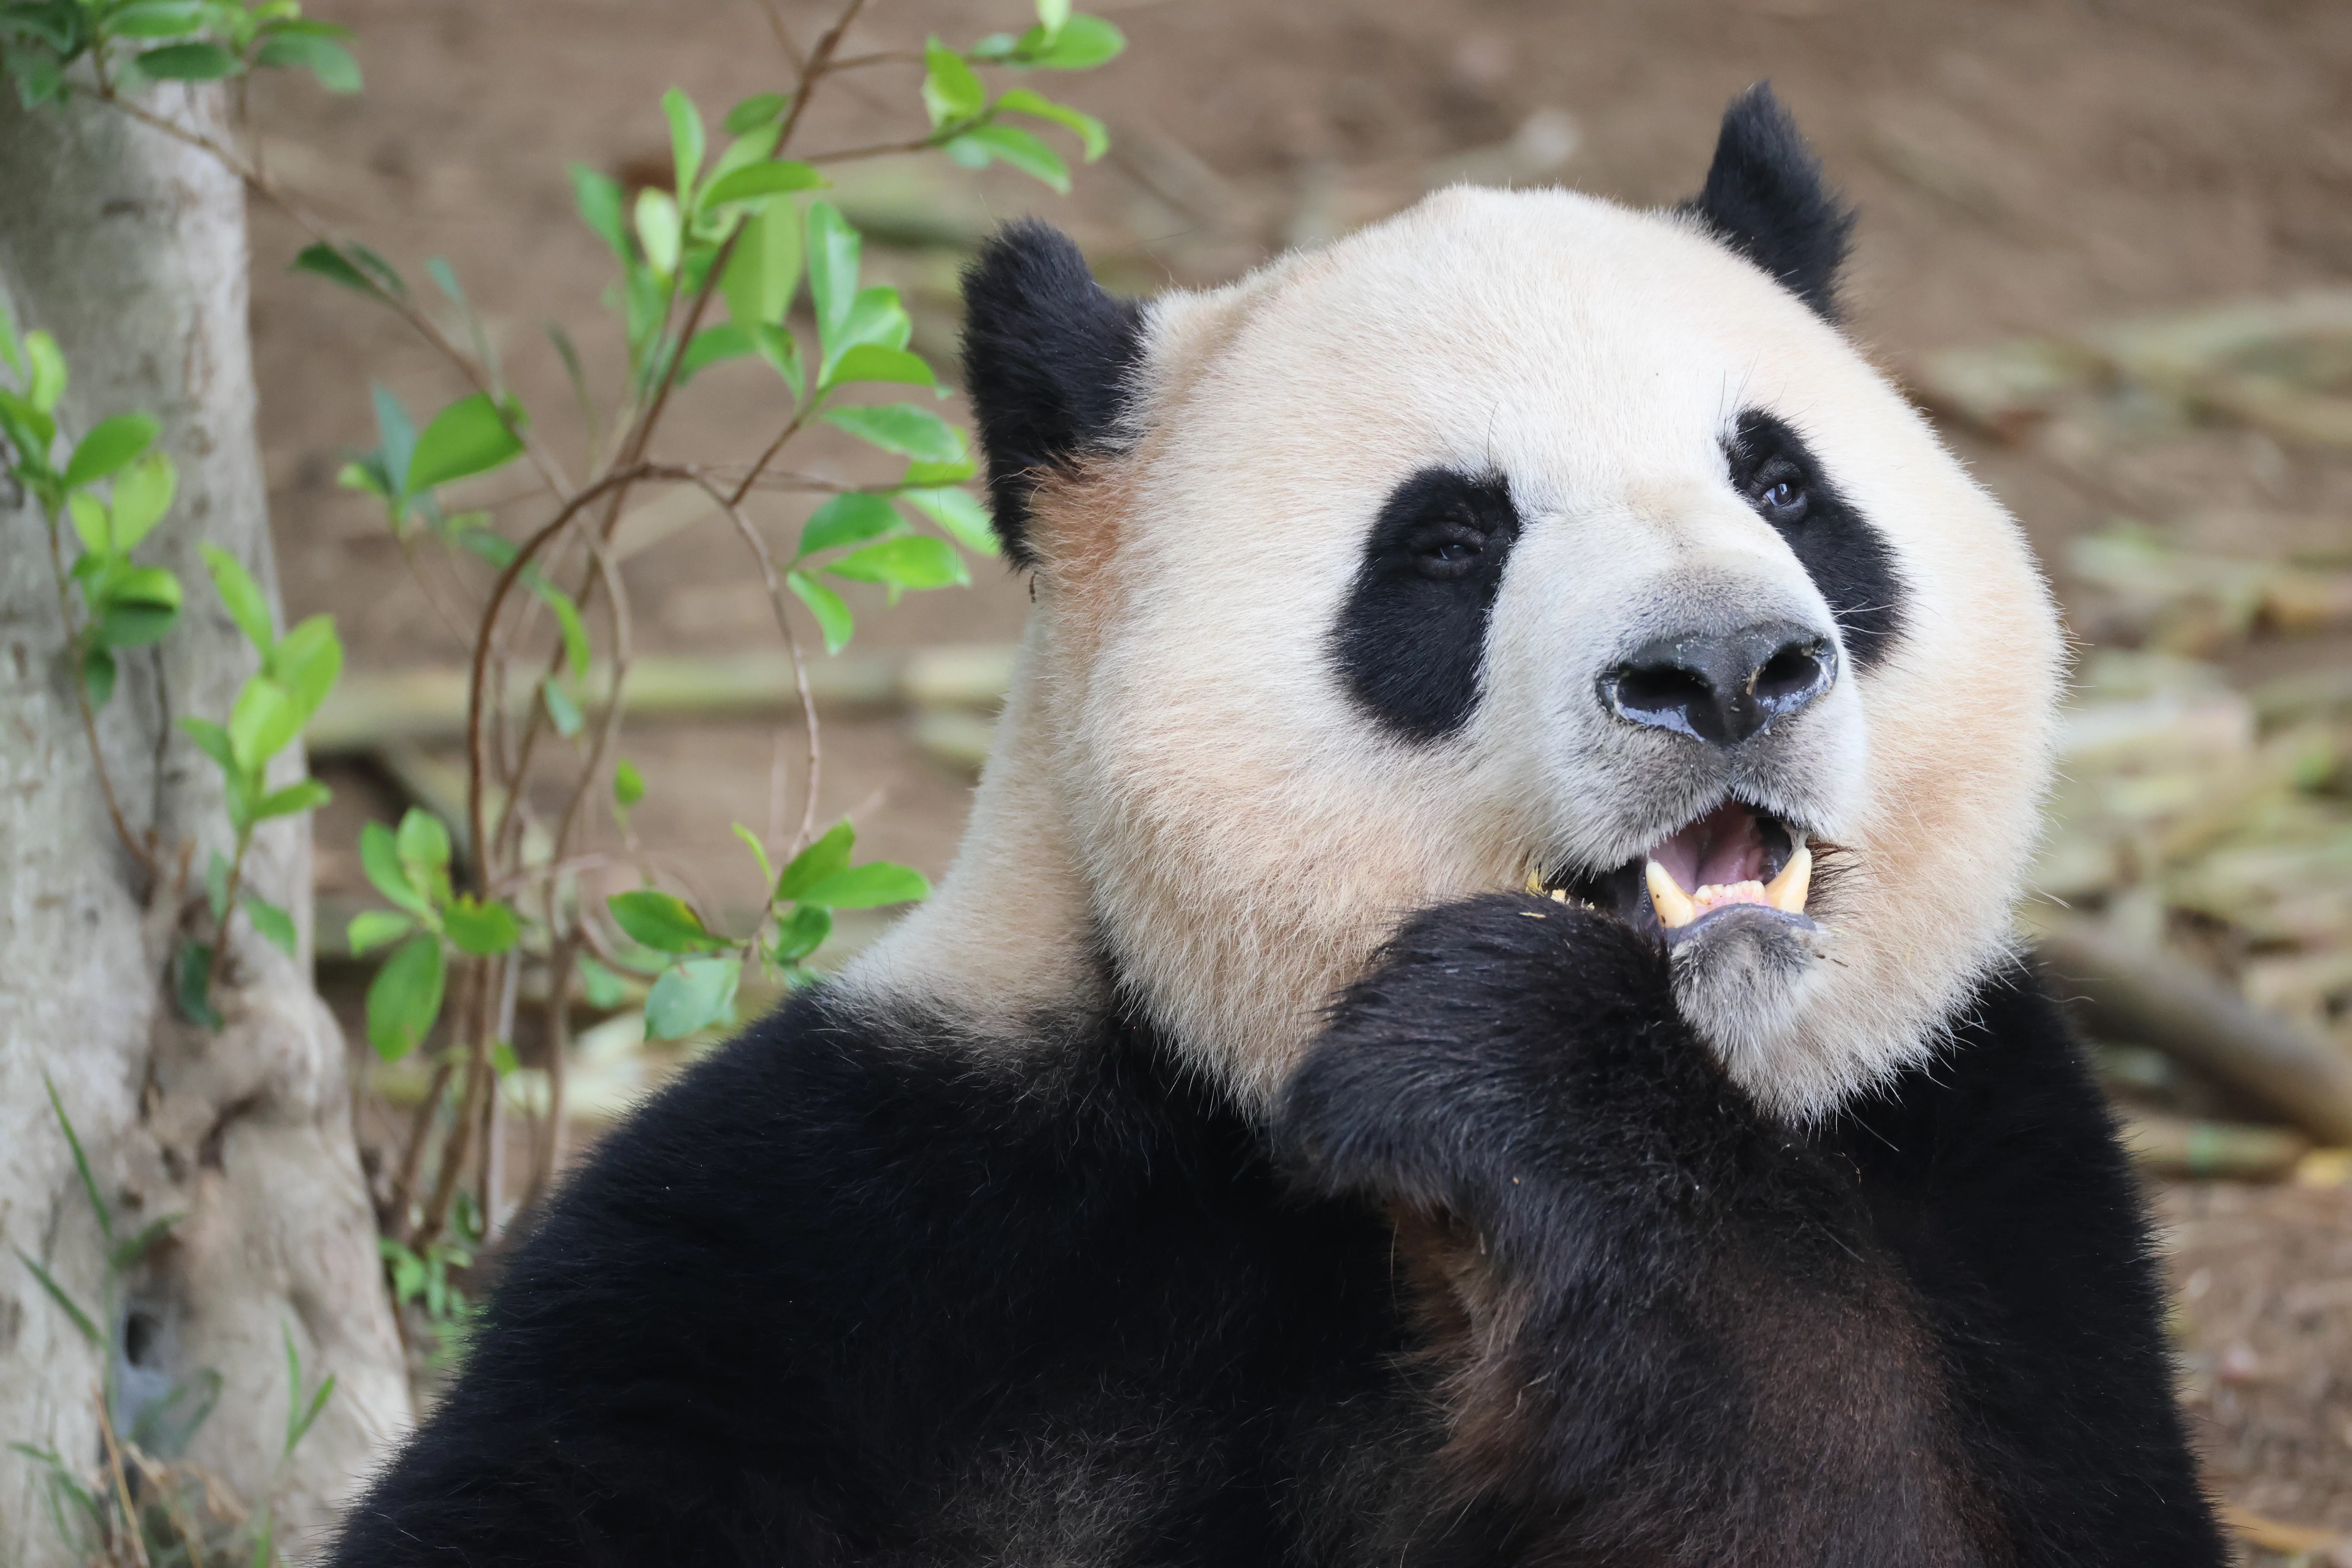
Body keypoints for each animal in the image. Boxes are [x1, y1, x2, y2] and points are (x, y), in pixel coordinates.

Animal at [330, 86, 2225, 1567]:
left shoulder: (1990, 1182)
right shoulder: (859, 1215)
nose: (1721, 669)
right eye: (1449, 544)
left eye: (1783, 486)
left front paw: (1515, 1059)